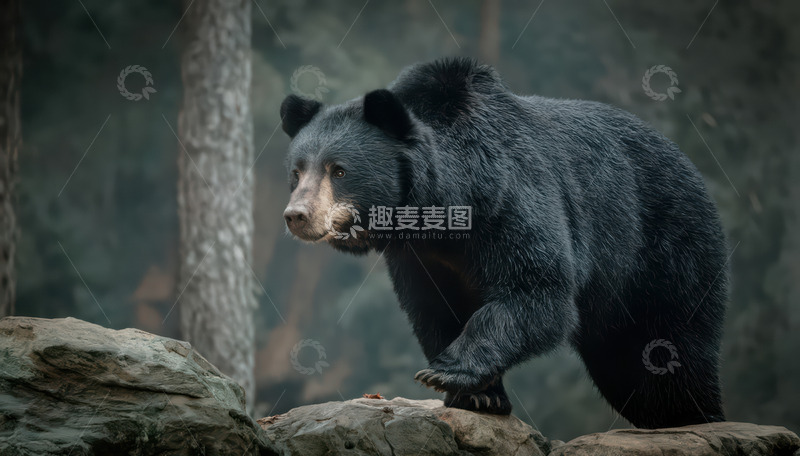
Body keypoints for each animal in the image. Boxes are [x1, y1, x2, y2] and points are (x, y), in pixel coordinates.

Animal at [280, 57, 727, 429]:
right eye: (296, 172)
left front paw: (446, 373)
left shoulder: (508, 199)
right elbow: (433, 308)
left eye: (339, 170)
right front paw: (480, 396)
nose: (297, 216)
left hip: (665, 247)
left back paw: (695, 414)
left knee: (669, 346)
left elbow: (536, 286)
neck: (442, 210)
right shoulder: (419, 256)